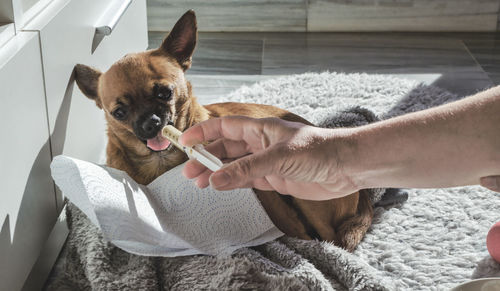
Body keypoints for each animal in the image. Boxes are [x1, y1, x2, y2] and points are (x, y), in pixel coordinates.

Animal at [73, 10, 372, 252]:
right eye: (119, 113)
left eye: (165, 93)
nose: (151, 122)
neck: (162, 162)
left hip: (308, 197)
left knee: (330, 238)